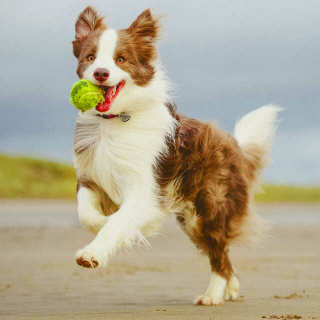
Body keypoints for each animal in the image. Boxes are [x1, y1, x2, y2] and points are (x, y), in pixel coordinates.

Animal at [72, 6, 280, 306]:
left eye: (120, 59)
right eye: (90, 56)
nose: (100, 73)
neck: (115, 120)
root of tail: (235, 144)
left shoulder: (145, 193)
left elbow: (118, 222)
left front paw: (92, 253)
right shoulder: (90, 178)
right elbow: (87, 213)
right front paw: (102, 222)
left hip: (205, 210)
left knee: (219, 253)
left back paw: (212, 295)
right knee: (224, 255)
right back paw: (230, 288)